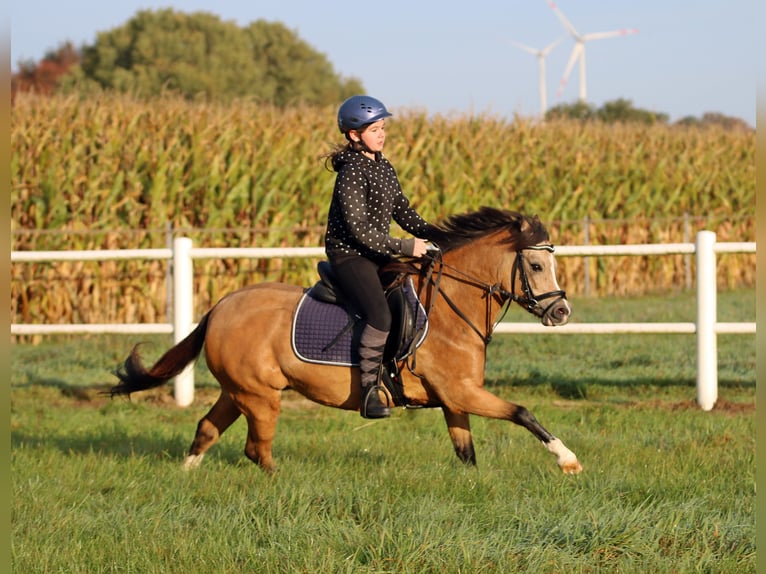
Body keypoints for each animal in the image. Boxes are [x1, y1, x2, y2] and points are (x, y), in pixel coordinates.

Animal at [111, 209, 584, 474]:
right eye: (536, 266)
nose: (562, 312)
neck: (449, 311)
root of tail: (220, 307)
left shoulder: (454, 398)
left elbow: (466, 452)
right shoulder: (462, 392)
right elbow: (523, 412)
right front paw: (567, 459)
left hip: (240, 391)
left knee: (207, 430)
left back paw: (185, 477)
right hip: (261, 399)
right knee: (255, 449)